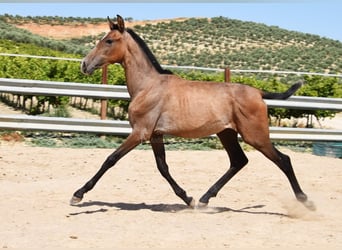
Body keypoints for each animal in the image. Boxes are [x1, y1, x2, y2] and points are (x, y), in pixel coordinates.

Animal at [71, 14, 314, 210]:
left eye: (109, 40)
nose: (84, 64)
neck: (148, 86)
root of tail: (258, 92)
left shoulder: (140, 132)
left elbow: (110, 159)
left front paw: (78, 195)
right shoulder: (155, 135)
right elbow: (163, 167)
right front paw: (188, 198)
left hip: (255, 136)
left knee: (283, 160)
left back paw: (306, 201)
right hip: (227, 134)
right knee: (238, 161)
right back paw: (205, 199)